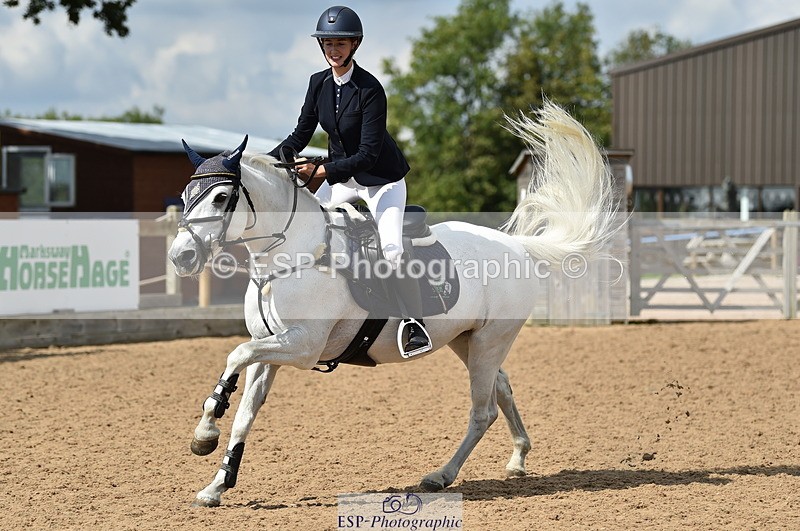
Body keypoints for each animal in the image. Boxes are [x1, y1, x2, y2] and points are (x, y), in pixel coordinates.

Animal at [168, 101, 618, 507]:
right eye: (186, 193)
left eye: (221, 197)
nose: (181, 257)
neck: (291, 255)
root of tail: (517, 245)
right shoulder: (272, 350)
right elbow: (245, 409)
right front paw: (216, 483)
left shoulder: (303, 345)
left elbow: (236, 354)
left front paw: (204, 434)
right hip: (467, 339)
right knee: (503, 389)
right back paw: (518, 458)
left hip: (492, 340)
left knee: (483, 410)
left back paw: (441, 476)